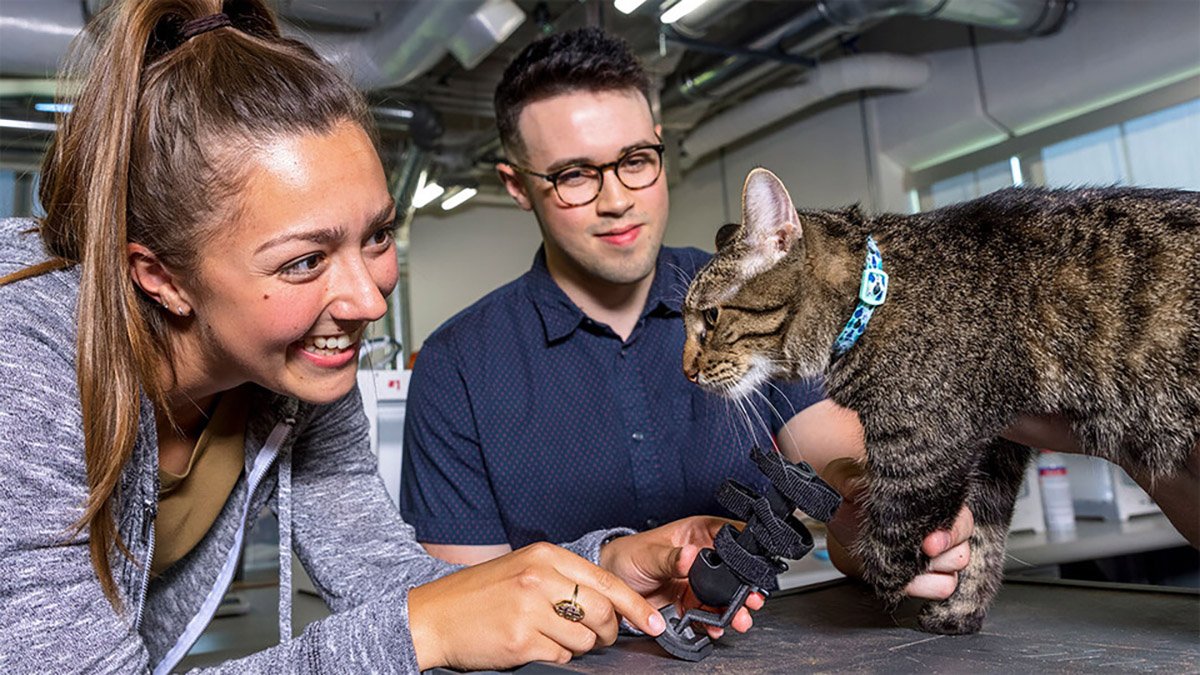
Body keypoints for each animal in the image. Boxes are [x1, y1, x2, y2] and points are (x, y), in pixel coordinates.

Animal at [686, 166, 1200, 629]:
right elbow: (984, 534)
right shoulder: (998, 445)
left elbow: (897, 528)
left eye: (710, 317)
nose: (686, 370)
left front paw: (889, 582)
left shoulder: (925, 443)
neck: (871, 295)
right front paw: (960, 610)